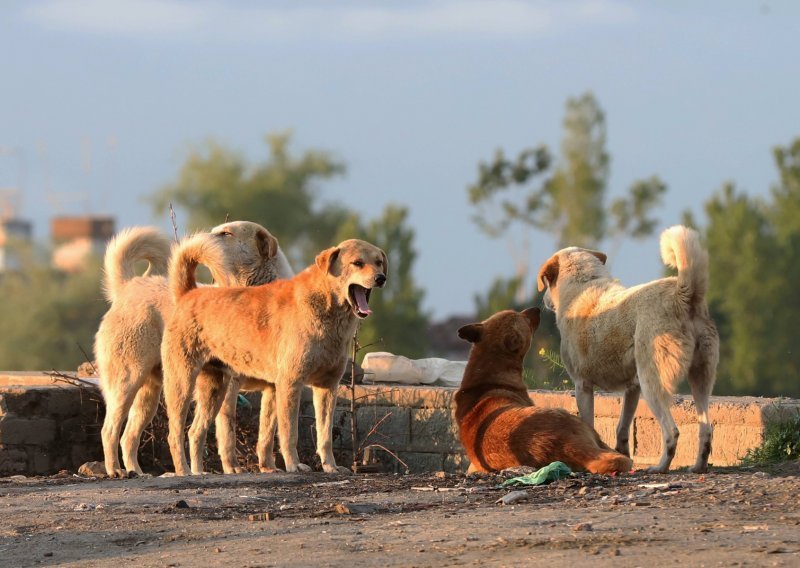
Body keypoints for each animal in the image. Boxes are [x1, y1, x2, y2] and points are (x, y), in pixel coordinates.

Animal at [94, 220, 294, 478]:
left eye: (226, 233)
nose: (196, 242)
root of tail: (129, 286)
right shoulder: (231, 386)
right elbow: (227, 433)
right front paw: (232, 468)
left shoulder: (273, 388)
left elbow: (267, 433)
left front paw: (268, 467)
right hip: (131, 381)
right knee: (111, 430)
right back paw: (118, 470)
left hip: (152, 393)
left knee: (129, 436)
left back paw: (138, 472)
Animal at [160, 239, 388, 474]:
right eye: (357, 263)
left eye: (379, 262)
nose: (381, 278)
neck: (327, 307)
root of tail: (188, 293)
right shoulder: (290, 384)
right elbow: (289, 433)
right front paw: (294, 465)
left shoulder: (326, 387)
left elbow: (322, 436)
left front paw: (330, 467)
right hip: (181, 383)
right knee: (175, 435)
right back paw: (183, 471)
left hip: (215, 389)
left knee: (195, 432)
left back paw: (198, 472)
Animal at [536, 226, 720, 474]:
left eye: (546, 282)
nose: (544, 300)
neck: (582, 284)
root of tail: (682, 293)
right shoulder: (633, 387)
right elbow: (622, 427)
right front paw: (621, 454)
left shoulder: (582, 385)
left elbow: (589, 424)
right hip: (701, 377)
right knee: (706, 429)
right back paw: (698, 466)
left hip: (653, 383)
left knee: (671, 432)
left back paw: (660, 467)